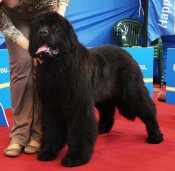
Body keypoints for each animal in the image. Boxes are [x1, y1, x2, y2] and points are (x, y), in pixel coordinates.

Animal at [28, 11, 163, 166]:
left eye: (56, 27)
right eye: (39, 26)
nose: (42, 33)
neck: (57, 66)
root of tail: (127, 53)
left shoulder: (79, 105)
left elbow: (79, 130)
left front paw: (75, 157)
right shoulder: (51, 107)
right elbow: (52, 130)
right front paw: (48, 151)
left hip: (131, 94)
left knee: (148, 110)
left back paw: (155, 136)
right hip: (103, 95)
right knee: (107, 111)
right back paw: (101, 129)